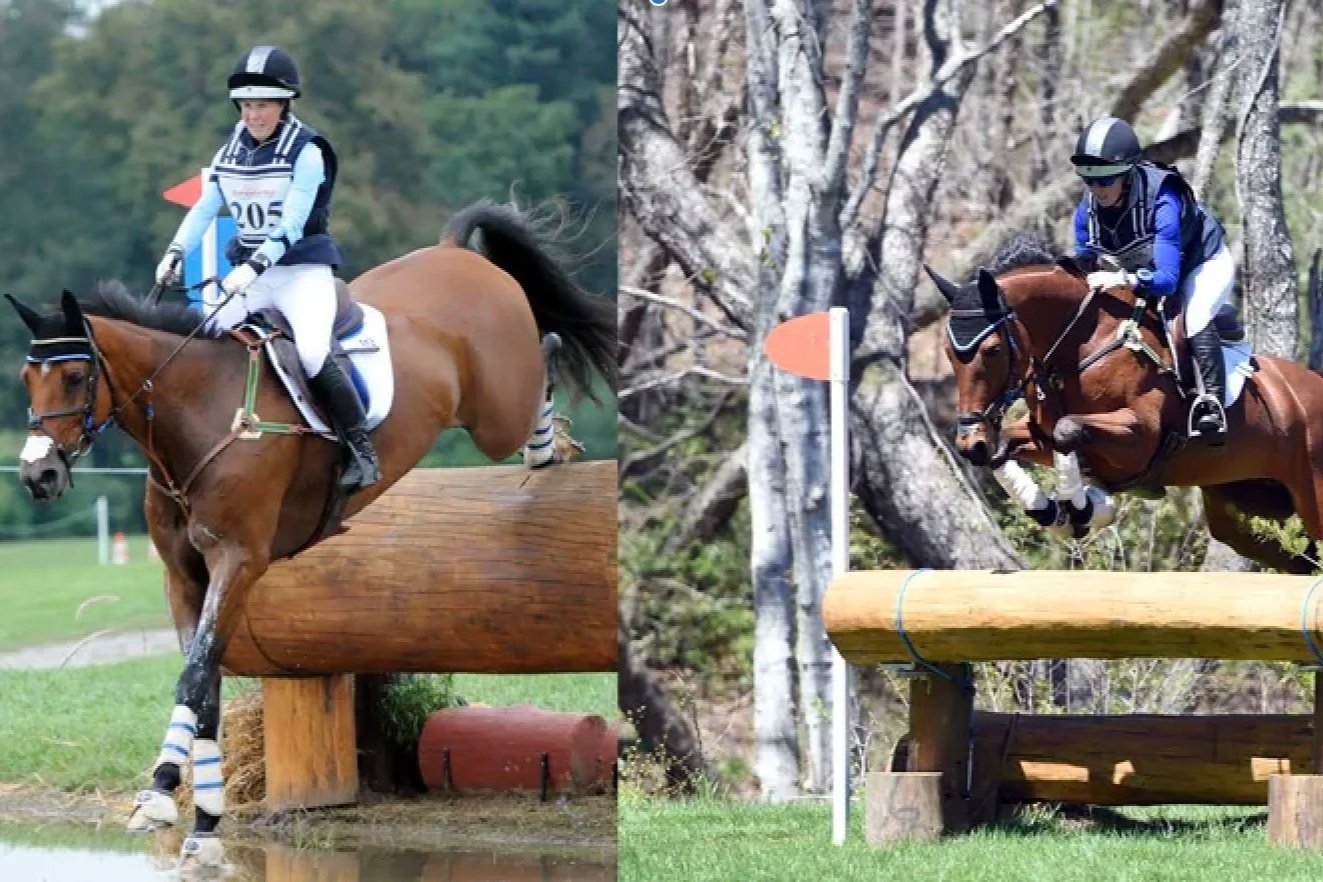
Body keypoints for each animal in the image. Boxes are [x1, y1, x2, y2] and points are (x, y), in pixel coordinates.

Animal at [6, 200, 616, 867]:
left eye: (72, 378)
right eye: (27, 380)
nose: (37, 474)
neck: (199, 413)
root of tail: (455, 251)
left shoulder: (239, 561)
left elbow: (194, 676)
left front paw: (162, 798)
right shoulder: (183, 575)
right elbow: (205, 686)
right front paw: (205, 820)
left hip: (494, 410)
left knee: (544, 357)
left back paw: (548, 447)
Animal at [927, 236, 1323, 575]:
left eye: (993, 350)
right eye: (948, 353)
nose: (969, 442)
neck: (1083, 341)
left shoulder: (1140, 436)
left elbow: (1068, 430)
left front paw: (1084, 510)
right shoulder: (1039, 434)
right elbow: (1009, 447)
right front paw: (1052, 512)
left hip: (1311, 497)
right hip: (1246, 508)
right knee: (1299, 562)